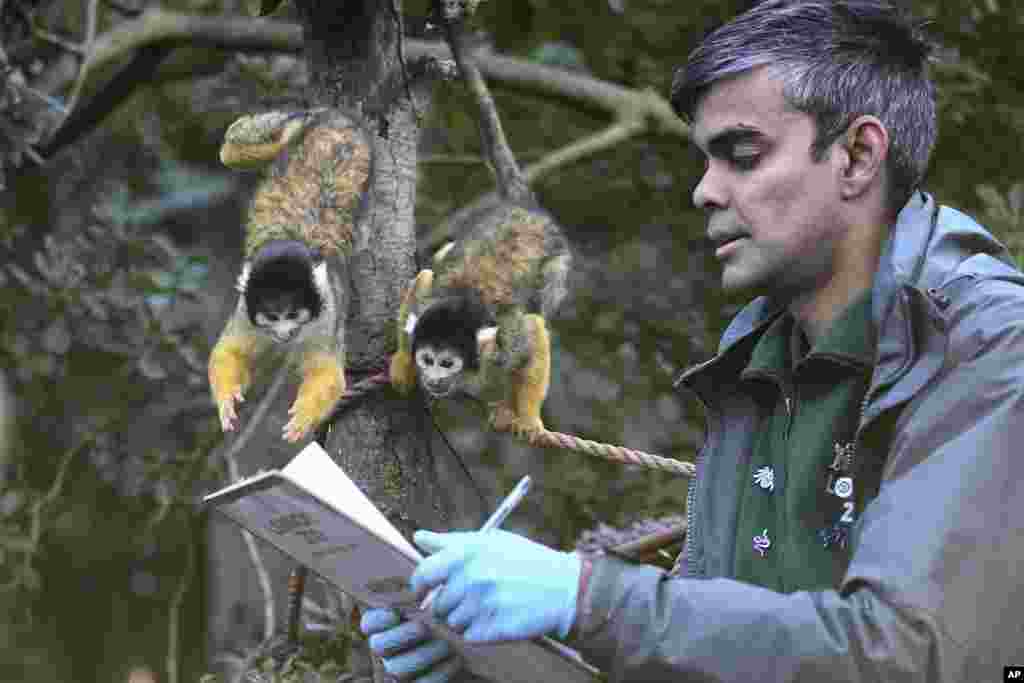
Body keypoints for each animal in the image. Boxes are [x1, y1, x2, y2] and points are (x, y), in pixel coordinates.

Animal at [208, 108, 373, 442]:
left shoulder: (327, 310)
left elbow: (327, 372)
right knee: (234, 150)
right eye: (273, 317)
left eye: (293, 315)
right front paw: (227, 401)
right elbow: (229, 350)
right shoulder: (246, 310)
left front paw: (302, 419)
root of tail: (335, 118)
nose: (284, 334)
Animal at [390, 202, 571, 437]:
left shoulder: (507, 341)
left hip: (557, 267)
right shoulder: (426, 304)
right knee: (436, 264)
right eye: (427, 360)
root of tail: (528, 213)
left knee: (542, 306)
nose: (433, 378)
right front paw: (403, 363)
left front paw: (528, 419)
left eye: (447, 363)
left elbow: (533, 330)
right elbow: (424, 280)